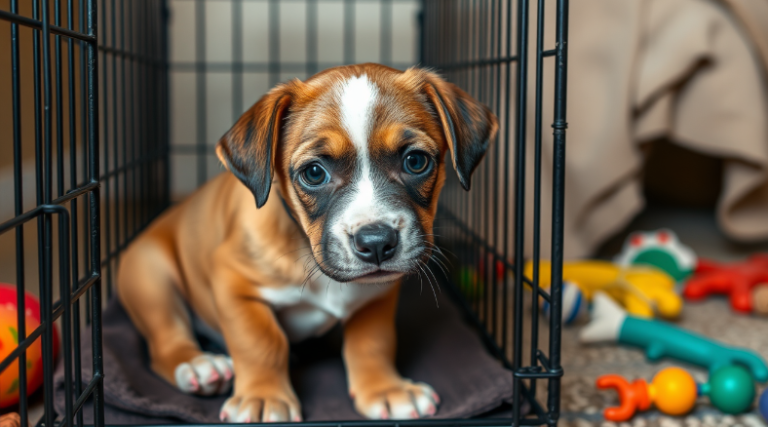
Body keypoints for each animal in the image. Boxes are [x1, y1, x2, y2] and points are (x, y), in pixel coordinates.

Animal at [115, 63, 498, 424]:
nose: (376, 242)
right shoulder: (234, 284)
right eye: (314, 173)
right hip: (150, 278)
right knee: (164, 344)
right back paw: (198, 365)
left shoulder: (377, 295)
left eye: (415, 161)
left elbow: (372, 342)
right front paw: (263, 397)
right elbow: (261, 342)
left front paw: (385, 389)